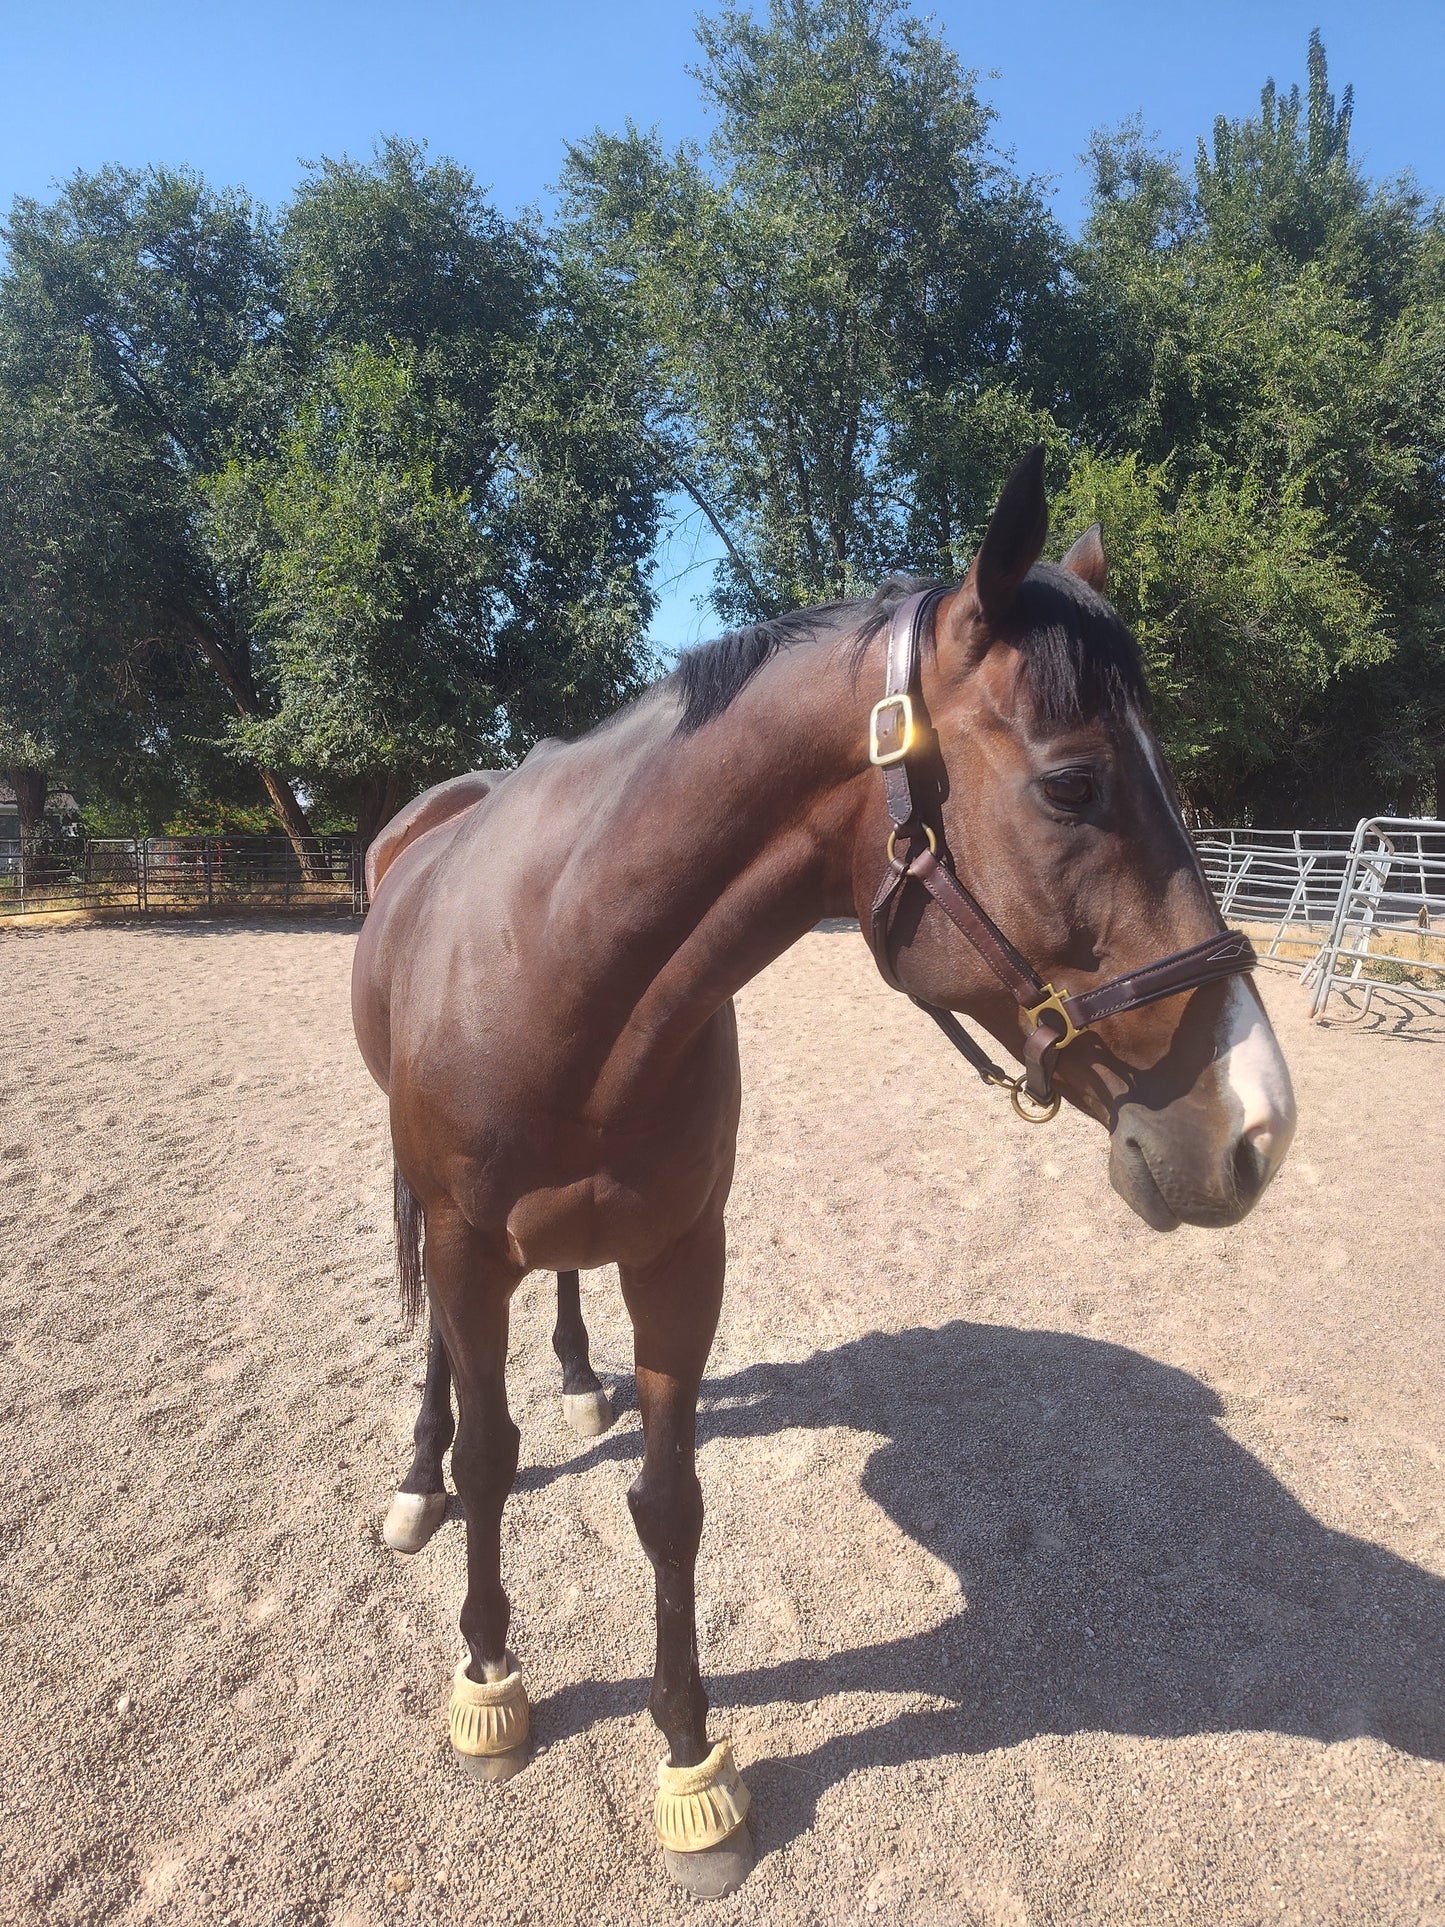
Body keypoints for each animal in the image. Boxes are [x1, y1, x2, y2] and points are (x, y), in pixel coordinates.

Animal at [350, 447, 1302, 1896]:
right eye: (1071, 785)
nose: (1255, 1126)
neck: (562, 966)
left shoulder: (680, 1251)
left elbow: (669, 1502)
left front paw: (693, 1768)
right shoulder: (464, 1238)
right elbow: (491, 1455)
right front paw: (489, 1682)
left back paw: (575, 1372)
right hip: (432, 1207)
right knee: (446, 1376)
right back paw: (416, 1483)